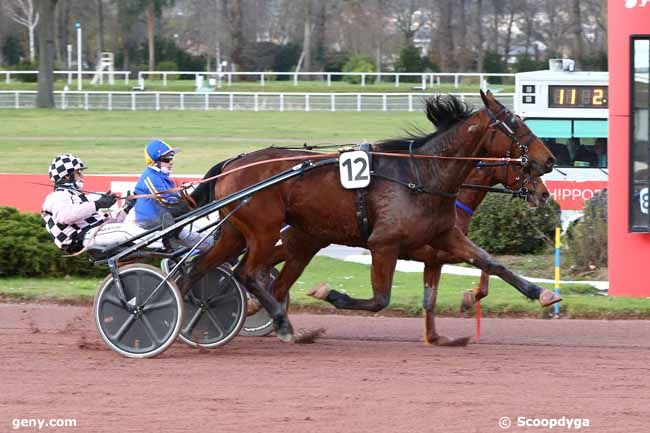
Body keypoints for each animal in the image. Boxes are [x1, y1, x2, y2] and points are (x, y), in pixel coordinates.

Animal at [185, 90, 556, 340]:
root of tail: (232, 163)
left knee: (207, 268)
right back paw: (279, 322)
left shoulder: (443, 237)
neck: (421, 177)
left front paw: (541, 294)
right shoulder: (385, 244)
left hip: (253, 234)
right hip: (265, 231)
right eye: (515, 126)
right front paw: (331, 294)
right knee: (248, 273)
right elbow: (380, 300)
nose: (549, 161)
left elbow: (489, 263)